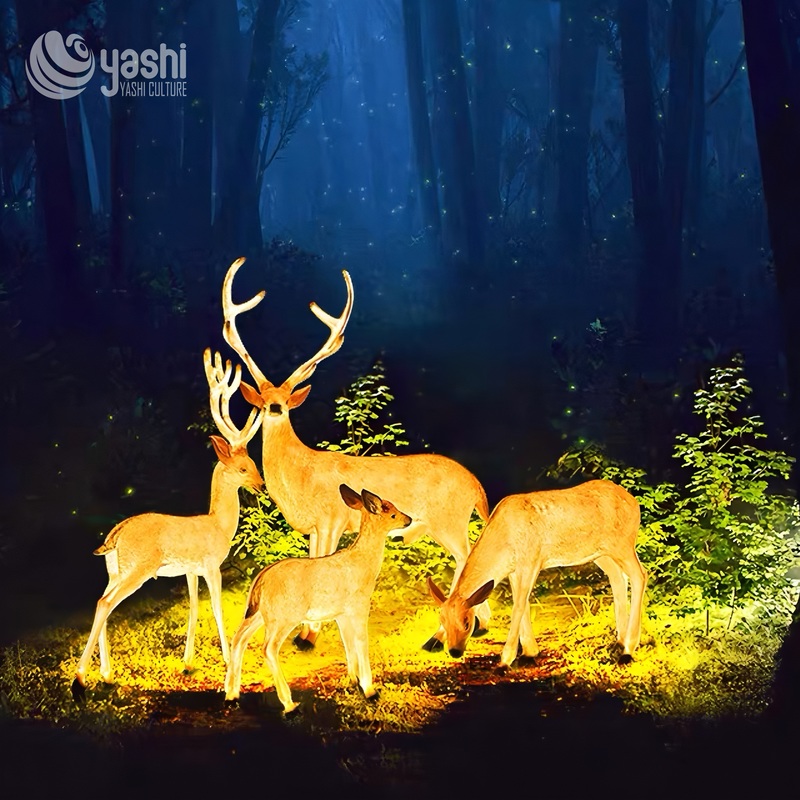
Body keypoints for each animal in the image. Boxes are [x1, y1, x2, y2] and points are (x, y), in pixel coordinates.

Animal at [71, 349, 264, 700]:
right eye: (244, 468)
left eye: (255, 464)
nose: (261, 484)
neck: (219, 525)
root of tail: (115, 535)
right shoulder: (211, 564)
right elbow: (216, 607)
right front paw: (226, 659)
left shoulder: (189, 569)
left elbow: (194, 608)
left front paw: (187, 662)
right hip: (139, 567)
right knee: (105, 603)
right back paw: (80, 678)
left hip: (114, 570)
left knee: (100, 601)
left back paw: (106, 673)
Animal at [218, 256, 491, 651]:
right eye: (266, 398)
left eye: (285, 400)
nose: (273, 407)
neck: (299, 474)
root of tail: (476, 484)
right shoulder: (314, 527)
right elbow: (312, 561)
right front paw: (305, 631)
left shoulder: (332, 518)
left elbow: (322, 561)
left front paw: (308, 636)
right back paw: (476, 627)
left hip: (449, 520)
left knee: (469, 558)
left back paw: (442, 635)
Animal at [223, 484, 412, 714]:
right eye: (392, 513)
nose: (409, 519)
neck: (365, 565)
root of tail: (261, 580)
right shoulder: (359, 605)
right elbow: (361, 642)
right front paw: (370, 691)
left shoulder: (341, 613)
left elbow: (348, 643)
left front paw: (353, 680)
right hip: (285, 615)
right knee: (268, 648)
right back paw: (289, 704)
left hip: (259, 613)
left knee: (238, 638)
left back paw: (231, 694)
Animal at [428, 479, 647, 667]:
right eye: (442, 620)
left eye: (467, 623)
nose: (454, 651)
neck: (504, 540)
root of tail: (635, 503)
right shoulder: (514, 569)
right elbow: (522, 603)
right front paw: (530, 652)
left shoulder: (531, 560)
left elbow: (518, 605)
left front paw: (506, 659)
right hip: (601, 553)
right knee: (619, 577)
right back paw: (619, 641)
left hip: (623, 544)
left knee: (640, 574)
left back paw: (628, 649)